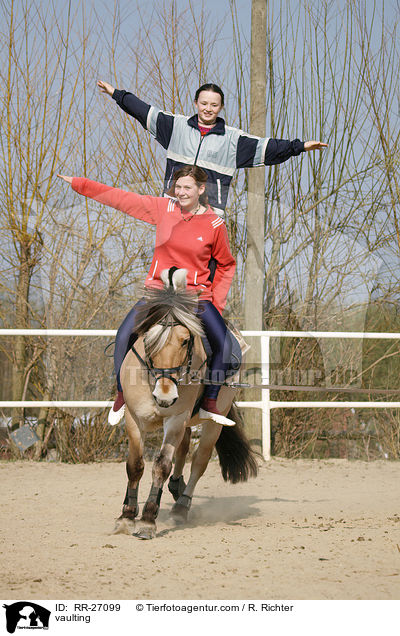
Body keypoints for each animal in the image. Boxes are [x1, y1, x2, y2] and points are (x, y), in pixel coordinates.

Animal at [114, 266, 258, 540]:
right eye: (148, 339)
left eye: (185, 340)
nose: (165, 397)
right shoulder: (134, 418)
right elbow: (135, 465)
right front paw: (126, 516)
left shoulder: (175, 419)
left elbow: (161, 465)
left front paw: (147, 521)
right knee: (182, 450)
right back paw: (175, 488)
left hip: (211, 422)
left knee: (199, 461)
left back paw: (182, 506)